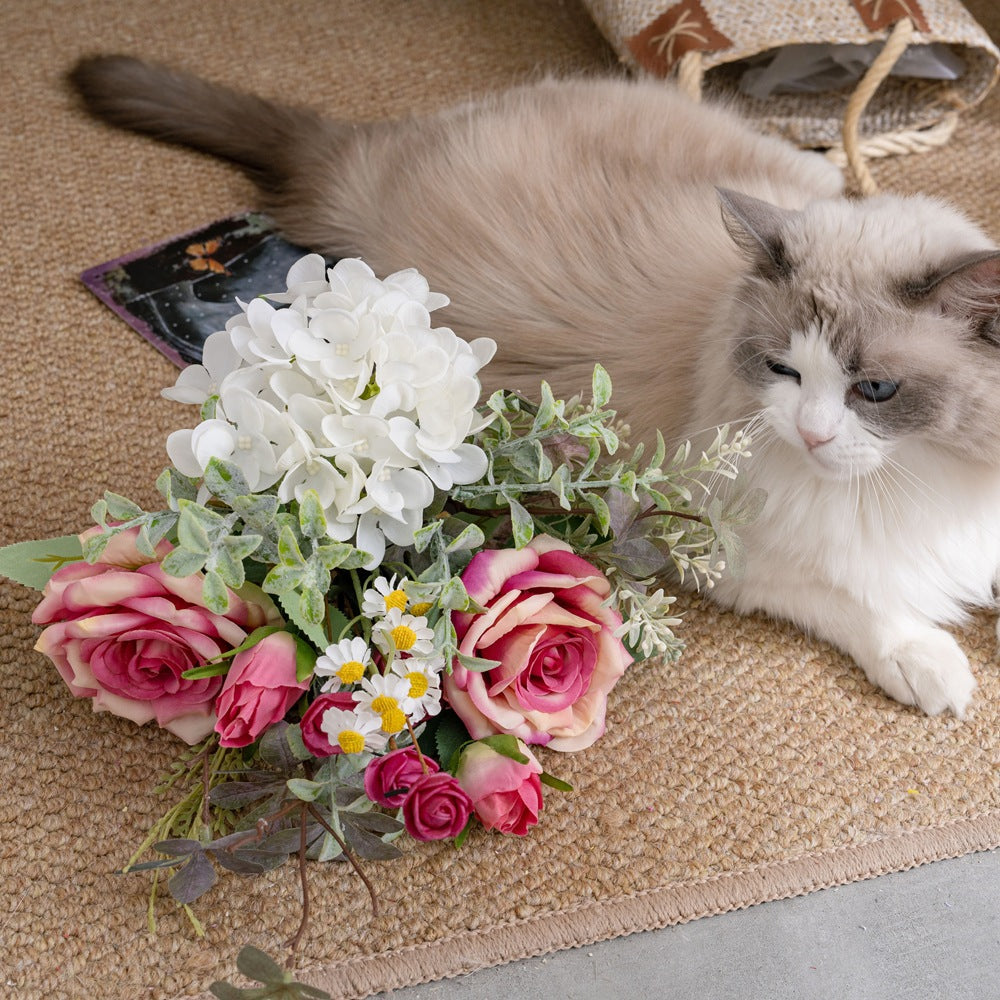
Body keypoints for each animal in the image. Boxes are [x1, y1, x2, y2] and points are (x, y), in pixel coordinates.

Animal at [66, 54, 1000, 720]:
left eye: (875, 389)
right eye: (782, 370)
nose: (808, 432)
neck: (927, 479)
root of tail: (378, 151)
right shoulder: (725, 551)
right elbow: (868, 603)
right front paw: (932, 666)